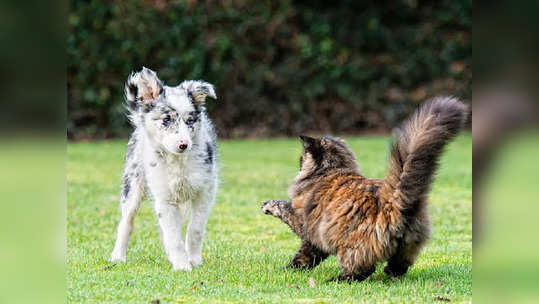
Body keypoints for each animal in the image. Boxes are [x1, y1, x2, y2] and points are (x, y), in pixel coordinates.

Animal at [109, 66, 219, 270]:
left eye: (190, 121)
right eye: (166, 119)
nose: (184, 144)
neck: (177, 162)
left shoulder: (205, 191)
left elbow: (195, 229)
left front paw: (194, 260)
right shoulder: (164, 197)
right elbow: (173, 236)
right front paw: (182, 266)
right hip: (133, 184)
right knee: (126, 222)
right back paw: (118, 256)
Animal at [262, 97, 468, 282]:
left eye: (302, 158)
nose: (298, 164)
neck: (331, 170)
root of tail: (392, 200)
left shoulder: (304, 222)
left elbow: (284, 209)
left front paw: (268, 206)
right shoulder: (315, 238)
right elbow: (306, 256)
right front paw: (292, 269)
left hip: (351, 248)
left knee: (361, 270)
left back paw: (336, 280)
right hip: (408, 246)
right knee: (400, 266)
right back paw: (389, 273)